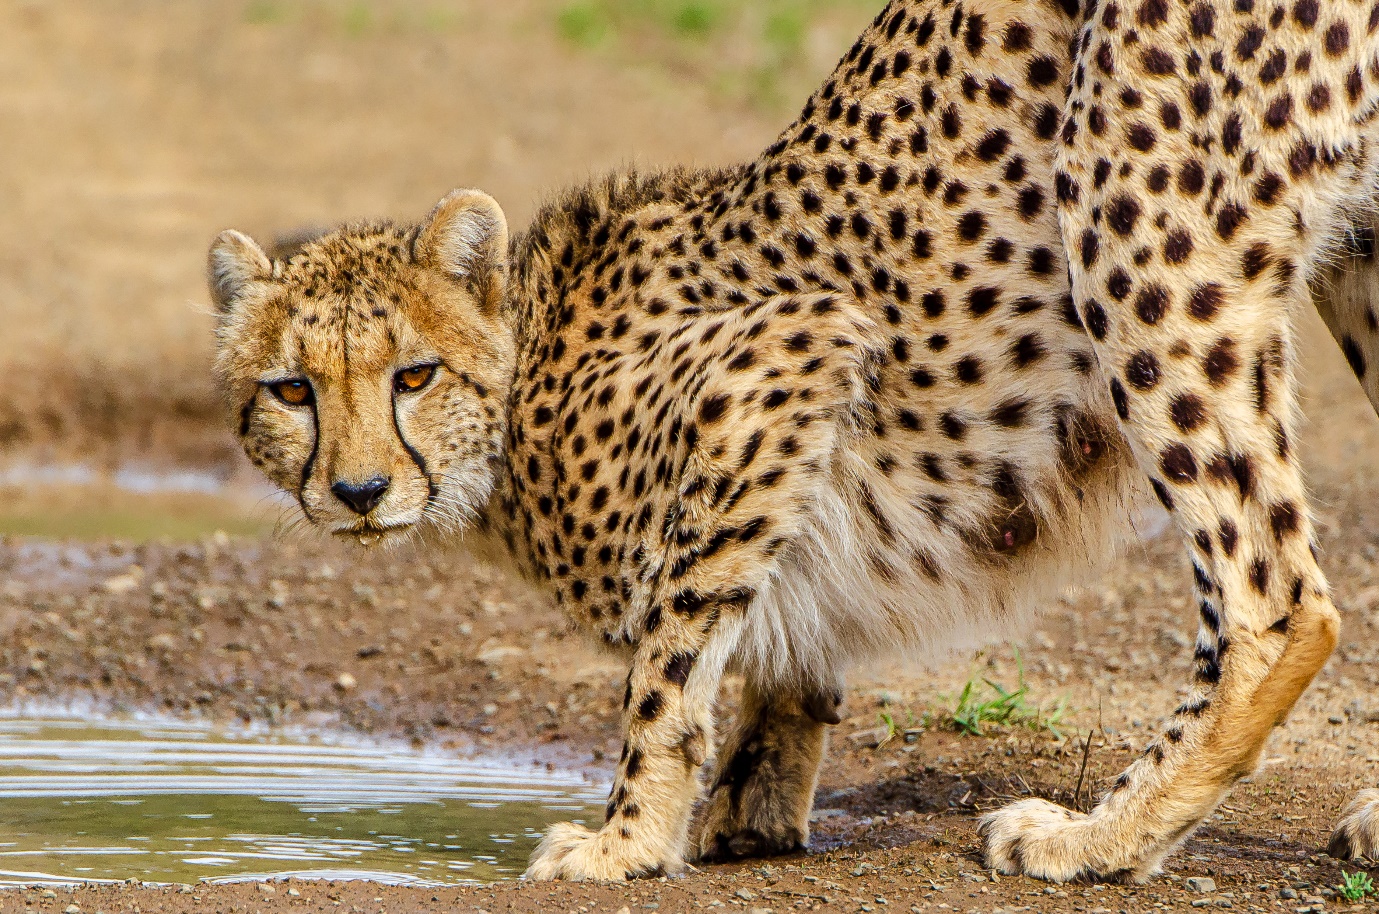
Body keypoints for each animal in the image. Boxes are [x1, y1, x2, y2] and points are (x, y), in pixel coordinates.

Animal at [208, 0, 1379, 883]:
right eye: (291, 391)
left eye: (413, 376)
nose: (359, 491)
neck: (523, 392)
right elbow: (769, 638)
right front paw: (755, 793)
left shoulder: (780, 362)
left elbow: (668, 658)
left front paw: (627, 837)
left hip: (1125, 199)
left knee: (1277, 602)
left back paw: (1095, 837)